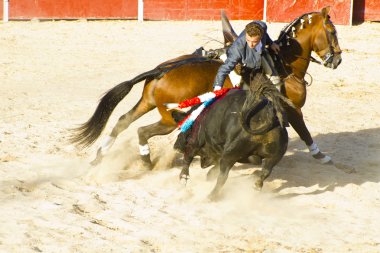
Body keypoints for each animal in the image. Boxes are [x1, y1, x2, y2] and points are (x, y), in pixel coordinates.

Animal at [70, 5, 342, 168]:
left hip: (148, 103)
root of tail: (161, 70)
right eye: (332, 31)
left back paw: (101, 156)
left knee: (124, 121)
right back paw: (145, 160)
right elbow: (305, 132)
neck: (284, 63)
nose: (337, 59)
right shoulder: (293, 109)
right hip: (171, 118)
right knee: (142, 130)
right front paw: (322, 155)